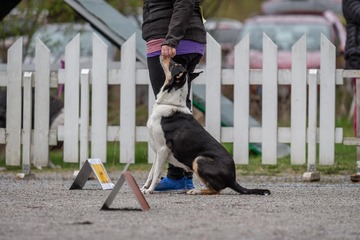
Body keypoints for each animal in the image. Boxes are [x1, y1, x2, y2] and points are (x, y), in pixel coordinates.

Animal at [141, 57, 270, 196]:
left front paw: (150, 190)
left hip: (199, 160)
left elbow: (156, 173)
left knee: (216, 190)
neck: (169, 103)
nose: (164, 55)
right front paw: (144, 188)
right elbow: (151, 173)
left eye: (175, 64)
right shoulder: (157, 151)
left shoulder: (163, 149)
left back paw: (195, 190)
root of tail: (233, 179)